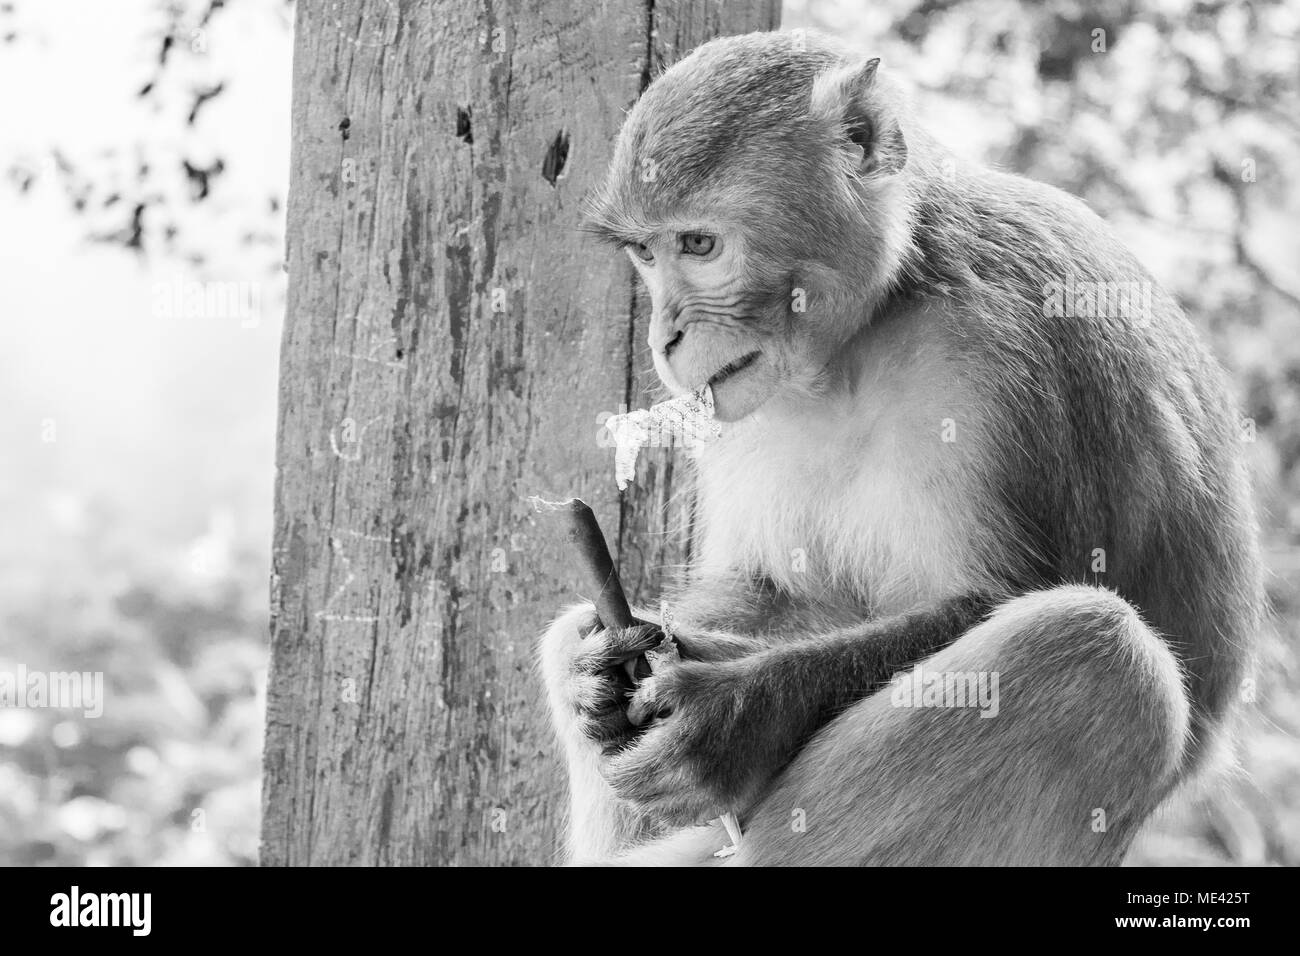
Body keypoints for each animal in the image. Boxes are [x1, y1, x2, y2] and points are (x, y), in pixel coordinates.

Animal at [535, 31, 1258, 868]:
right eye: (645, 256)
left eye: (699, 244)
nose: (666, 337)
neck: (867, 329)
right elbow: (761, 587)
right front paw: (602, 672)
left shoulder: (988, 356)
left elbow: (991, 596)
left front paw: (738, 714)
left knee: (1100, 652)